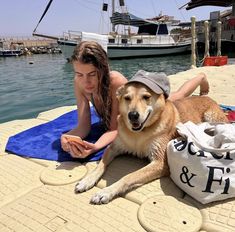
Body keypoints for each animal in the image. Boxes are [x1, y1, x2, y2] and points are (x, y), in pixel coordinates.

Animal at [75, 70, 228, 204]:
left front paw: (106, 192)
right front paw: (87, 180)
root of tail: (205, 96)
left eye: (146, 97)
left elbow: (128, 176)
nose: (132, 115)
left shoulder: (160, 162)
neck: (139, 134)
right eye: (127, 98)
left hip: (213, 118)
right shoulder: (113, 147)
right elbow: (101, 165)